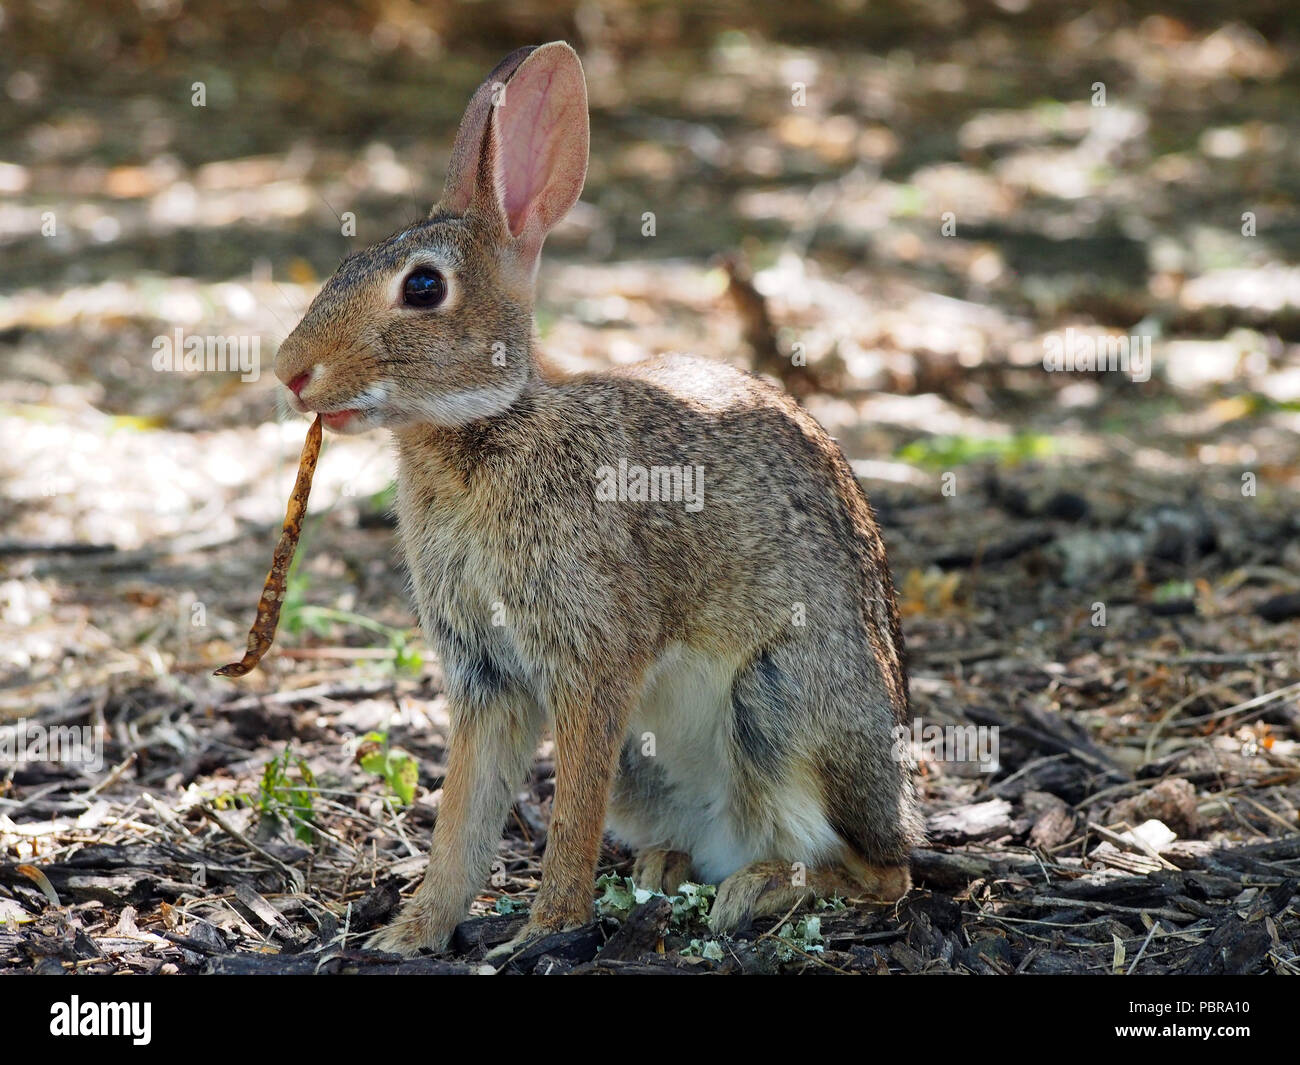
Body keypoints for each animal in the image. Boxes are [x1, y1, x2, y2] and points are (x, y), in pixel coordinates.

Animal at [274, 41, 925, 957]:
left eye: (424, 289)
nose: (290, 372)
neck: (487, 432)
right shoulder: (485, 676)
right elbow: (462, 818)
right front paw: (411, 932)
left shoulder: (593, 657)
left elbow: (568, 816)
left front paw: (543, 930)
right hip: (648, 767)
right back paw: (669, 867)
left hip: (785, 701)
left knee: (883, 871)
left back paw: (759, 888)